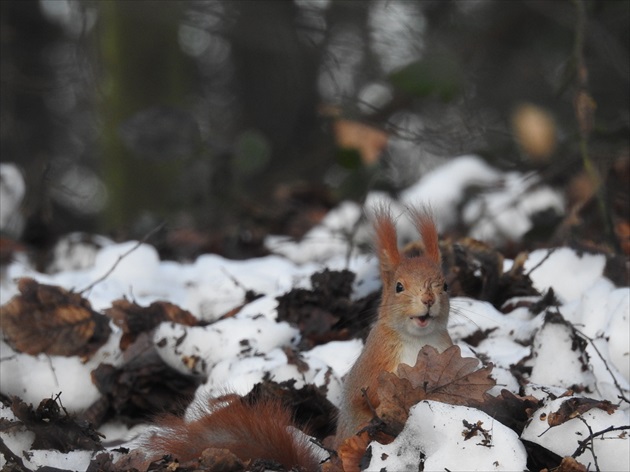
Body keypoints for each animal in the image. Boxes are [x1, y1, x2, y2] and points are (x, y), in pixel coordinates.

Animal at [336, 206, 454, 446]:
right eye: (399, 287)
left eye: (446, 286)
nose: (428, 299)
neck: (418, 341)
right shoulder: (376, 362)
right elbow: (370, 395)